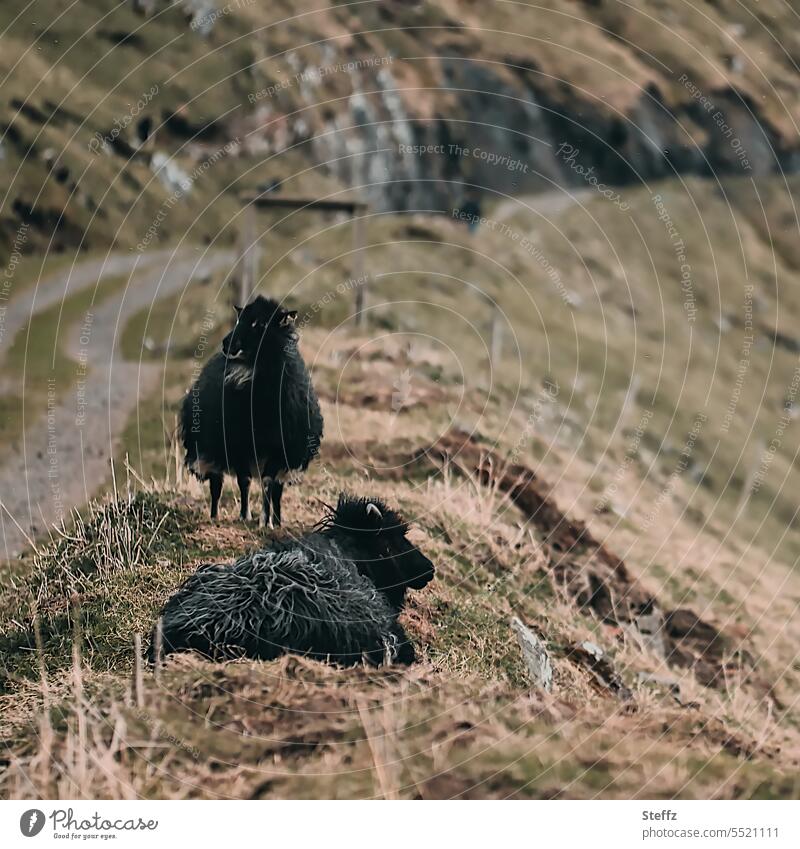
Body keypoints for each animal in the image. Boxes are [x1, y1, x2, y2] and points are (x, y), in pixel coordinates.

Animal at [180, 296, 322, 524]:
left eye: (260, 324)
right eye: (239, 319)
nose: (226, 343)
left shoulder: (278, 451)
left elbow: (268, 483)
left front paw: (266, 521)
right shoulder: (238, 445)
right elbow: (244, 481)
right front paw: (244, 516)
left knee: (277, 490)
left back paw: (278, 520)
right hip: (212, 450)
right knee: (216, 485)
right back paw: (214, 516)